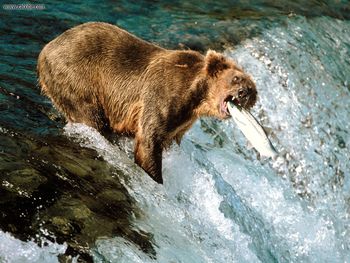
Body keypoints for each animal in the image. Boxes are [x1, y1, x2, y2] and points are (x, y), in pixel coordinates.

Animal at [37, 22, 258, 184]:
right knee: (91, 117)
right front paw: (155, 177)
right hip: (75, 75)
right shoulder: (165, 94)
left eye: (252, 89)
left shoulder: (182, 122)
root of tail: (46, 48)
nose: (244, 93)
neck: (197, 97)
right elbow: (150, 138)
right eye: (236, 79)